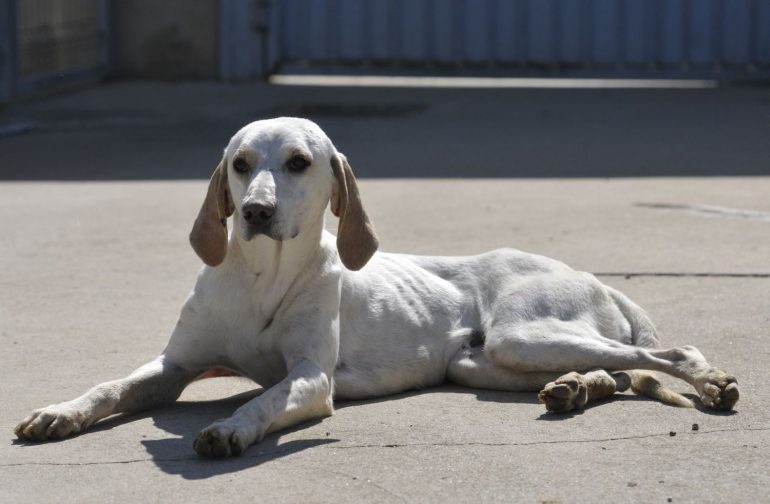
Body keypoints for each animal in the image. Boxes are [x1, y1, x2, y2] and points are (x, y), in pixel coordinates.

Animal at [15, 117, 736, 456]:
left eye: (298, 163)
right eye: (240, 164)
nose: (253, 212)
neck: (258, 275)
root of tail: (591, 276)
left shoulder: (310, 379)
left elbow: (262, 399)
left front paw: (231, 429)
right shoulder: (174, 366)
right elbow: (108, 386)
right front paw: (59, 412)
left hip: (522, 333)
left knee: (664, 354)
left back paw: (710, 382)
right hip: (484, 361)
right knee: (616, 374)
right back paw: (573, 391)